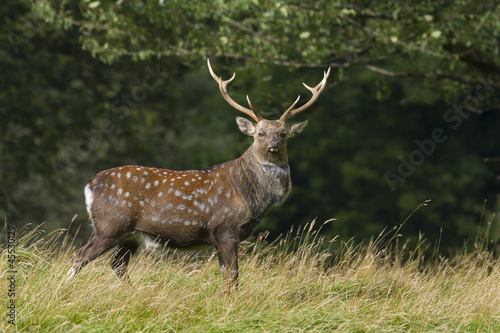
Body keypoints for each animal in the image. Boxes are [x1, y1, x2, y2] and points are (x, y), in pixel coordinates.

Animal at [67, 59, 332, 290]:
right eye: (260, 133)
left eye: (284, 134)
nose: (274, 144)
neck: (250, 195)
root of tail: (89, 184)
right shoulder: (226, 230)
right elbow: (233, 278)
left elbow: (227, 277)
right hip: (109, 225)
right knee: (78, 257)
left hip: (130, 235)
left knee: (117, 264)